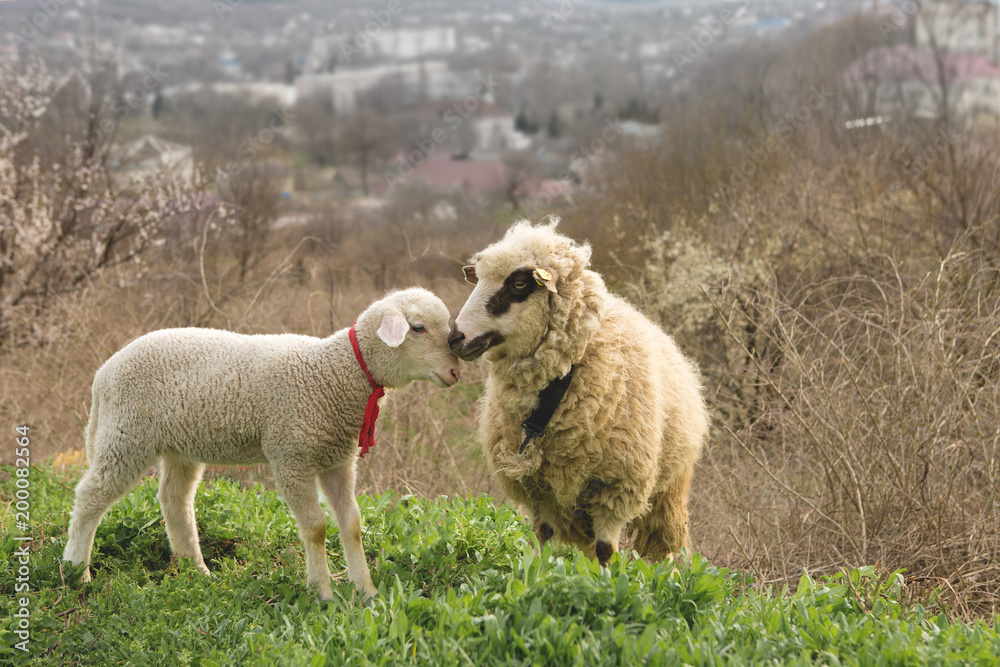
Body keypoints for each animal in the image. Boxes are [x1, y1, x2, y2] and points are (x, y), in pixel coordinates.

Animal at [62, 287, 460, 601]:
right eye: (419, 328)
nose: (455, 372)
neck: (334, 372)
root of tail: (103, 374)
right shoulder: (291, 457)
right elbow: (316, 527)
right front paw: (323, 592)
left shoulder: (338, 460)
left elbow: (351, 525)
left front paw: (367, 591)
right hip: (125, 436)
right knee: (90, 496)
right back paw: (76, 571)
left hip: (179, 445)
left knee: (174, 500)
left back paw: (196, 571)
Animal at [448, 220, 709, 565]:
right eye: (477, 279)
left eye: (519, 283)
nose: (454, 338)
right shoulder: (539, 488)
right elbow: (541, 539)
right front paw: (540, 572)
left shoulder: (616, 487)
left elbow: (606, 551)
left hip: (670, 489)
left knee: (665, 541)